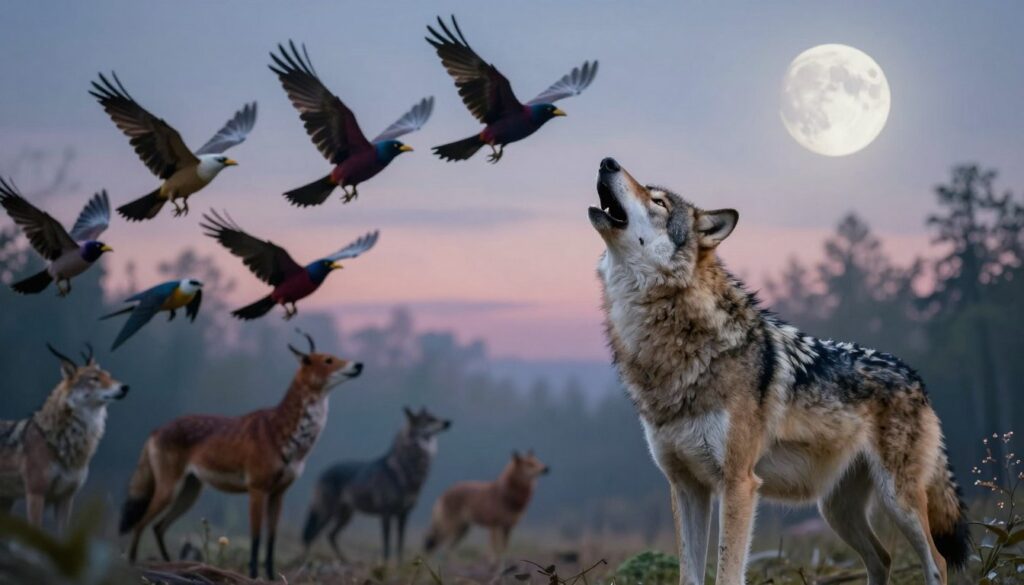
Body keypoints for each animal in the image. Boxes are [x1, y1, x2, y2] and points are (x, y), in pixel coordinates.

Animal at [302, 406, 451, 562]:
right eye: (429, 419)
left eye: (435, 416)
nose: (448, 422)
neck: (405, 471)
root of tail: (321, 473)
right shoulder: (386, 514)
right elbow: (386, 545)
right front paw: (385, 564)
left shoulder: (403, 515)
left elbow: (400, 545)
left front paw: (399, 564)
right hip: (328, 514)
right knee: (312, 535)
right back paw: (305, 560)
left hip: (345, 516)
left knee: (330, 535)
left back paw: (344, 560)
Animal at [589, 157, 969, 585]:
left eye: (658, 201)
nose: (607, 162)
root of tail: (914, 376)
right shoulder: (686, 486)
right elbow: (690, 575)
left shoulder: (738, 483)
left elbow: (727, 574)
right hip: (835, 511)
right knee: (882, 557)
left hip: (897, 501)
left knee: (936, 561)